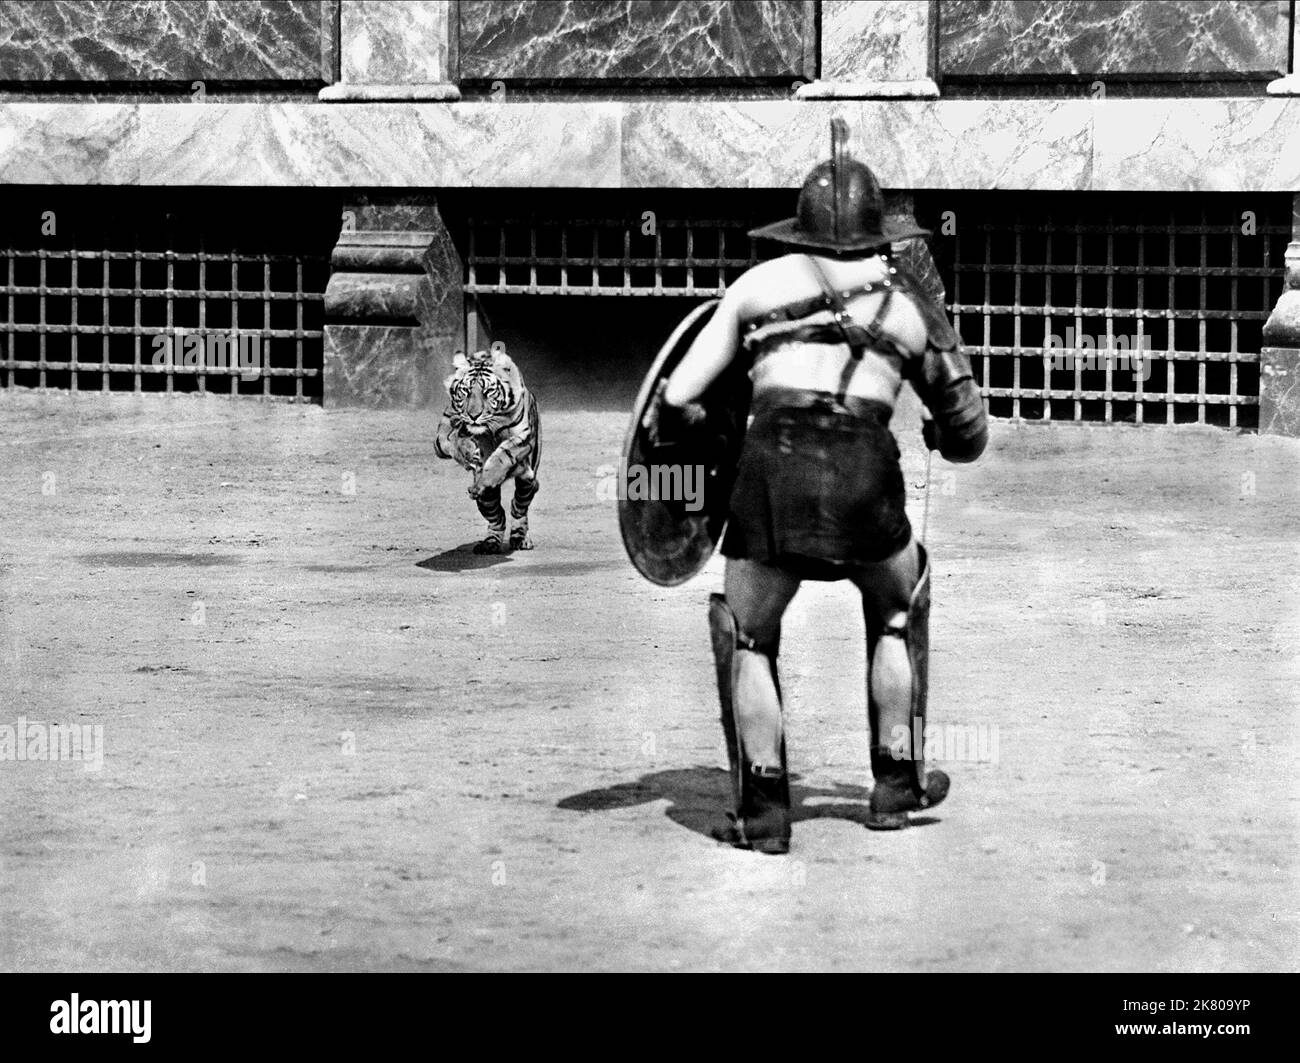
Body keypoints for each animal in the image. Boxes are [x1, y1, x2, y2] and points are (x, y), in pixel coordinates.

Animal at [434, 340, 540, 556]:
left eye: (488, 392)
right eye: (466, 391)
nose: (473, 415)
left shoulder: (522, 436)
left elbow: (503, 453)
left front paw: (488, 475)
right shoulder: (444, 433)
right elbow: (452, 441)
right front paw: (468, 453)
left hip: (526, 483)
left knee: (517, 507)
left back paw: (520, 538)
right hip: (487, 501)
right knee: (497, 516)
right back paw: (490, 543)